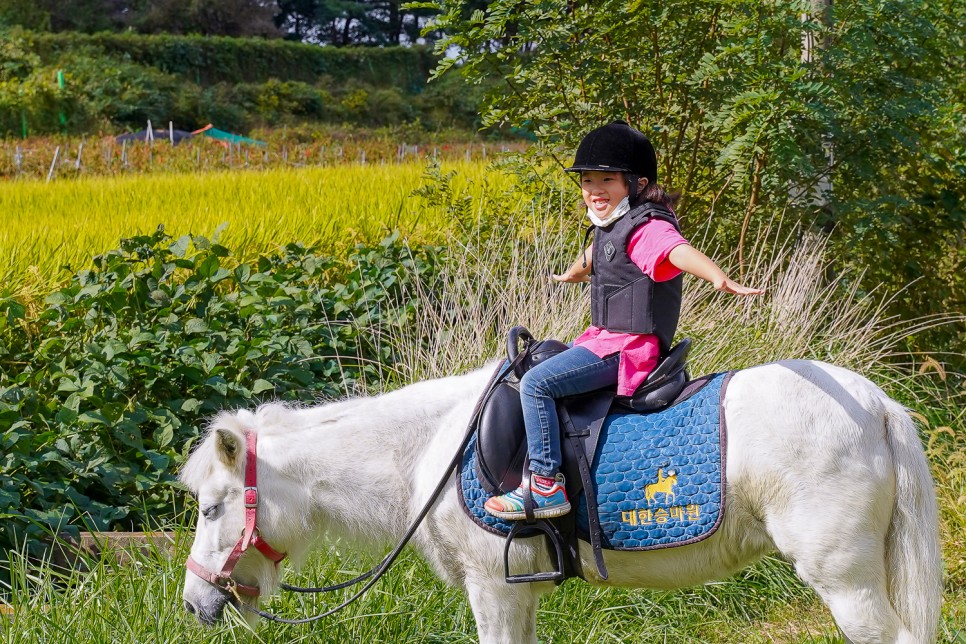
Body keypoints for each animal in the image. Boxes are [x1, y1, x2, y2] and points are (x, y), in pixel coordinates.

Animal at [178, 360, 940, 640]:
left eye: (212, 508)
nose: (194, 601)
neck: (430, 451)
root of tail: (877, 403)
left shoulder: (493, 590)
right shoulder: (518, 594)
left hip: (845, 580)